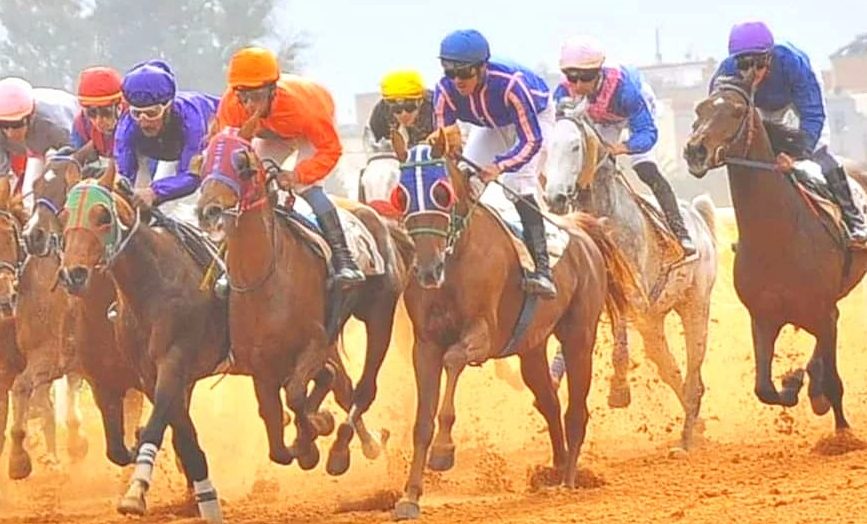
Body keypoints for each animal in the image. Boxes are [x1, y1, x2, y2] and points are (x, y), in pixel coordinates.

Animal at [58, 163, 227, 522]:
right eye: (63, 215)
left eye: (102, 215)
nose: (73, 274)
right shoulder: (109, 381)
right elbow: (119, 448)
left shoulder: (172, 362)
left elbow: (161, 429)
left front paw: (137, 493)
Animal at [195, 125, 410, 476]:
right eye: (202, 162)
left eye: (242, 164)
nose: (208, 212)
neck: (265, 282)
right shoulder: (259, 365)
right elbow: (275, 436)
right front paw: (306, 434)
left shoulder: (314, 342)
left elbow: (297, 395)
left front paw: (312, 437)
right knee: (341, 384)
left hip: (380, 313)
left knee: (362, 389)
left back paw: (342, 449)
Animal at [389, 131, 635, 519]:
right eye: (400, 195)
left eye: (441, 192)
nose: (427, 270)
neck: (456, 259)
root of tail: (581, 231)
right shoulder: (424, 344)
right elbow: (422, 420)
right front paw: (410, 496)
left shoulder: (483, 334)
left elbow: (454, 359)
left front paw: (444, 451)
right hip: (531, 348)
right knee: (549, 402)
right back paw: (555, 469)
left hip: (579, 336)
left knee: (575, 410)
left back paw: (568, 481)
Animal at [544, 105, 718, 449]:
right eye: (548, 146)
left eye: (575, 146)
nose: (554, 198)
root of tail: (699, 219)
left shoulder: (633, 295)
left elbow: (620, 335)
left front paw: (619, 390)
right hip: (653, 322)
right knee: (669, 367)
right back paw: (697, 424)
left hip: (695, 306)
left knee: (693, 373)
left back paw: (687, 438)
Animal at [684, 75, 867, 433]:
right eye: (700, 109)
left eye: (737, 111)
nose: (695, 150)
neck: (778, 237)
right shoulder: (763, 317)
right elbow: (764, 389)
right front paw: (794, 382)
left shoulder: (821, 312)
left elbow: (834, 381)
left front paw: (842, 432)